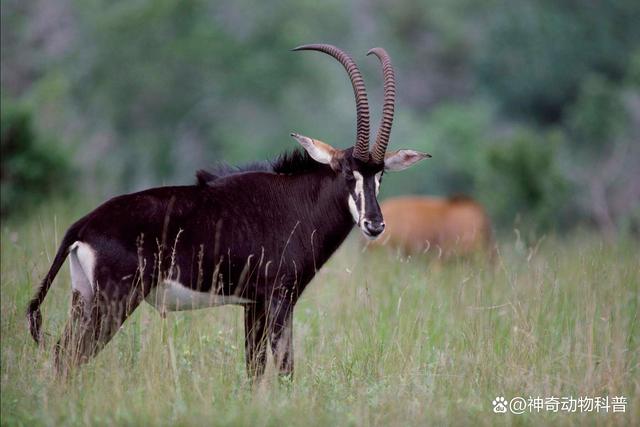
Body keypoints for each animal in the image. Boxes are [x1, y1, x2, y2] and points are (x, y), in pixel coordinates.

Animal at [26, 44, 430, 379]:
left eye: (381, 175)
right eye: (348, 173)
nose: (374, 224)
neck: (297, 201)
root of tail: (82, 225)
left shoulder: (253, 304)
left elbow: (254, 368)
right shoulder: (279, 299)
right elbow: (284, 367)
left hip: (84, 298)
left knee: (63, 353)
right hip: (115, 301)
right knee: (73, 355)